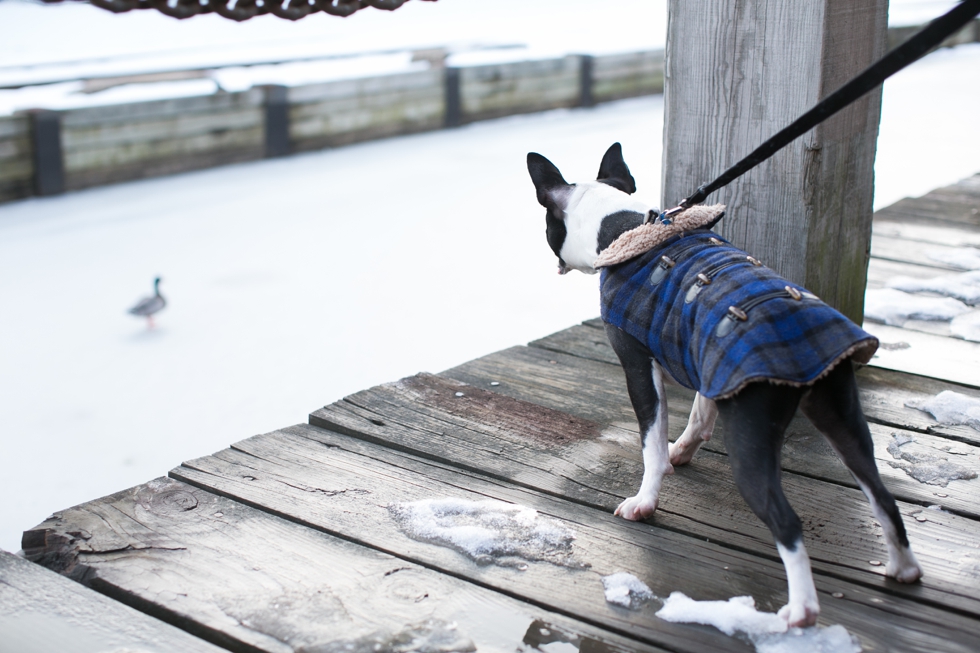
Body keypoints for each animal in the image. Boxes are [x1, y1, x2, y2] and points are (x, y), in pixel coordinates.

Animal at [524, 144, 924, 628]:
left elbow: (651, 443)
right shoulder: (707, 361)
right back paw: (903, 568)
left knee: (787, 522)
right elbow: (699, 411)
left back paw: (802, 610)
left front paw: (645, 500)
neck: (626, 227)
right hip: (841, 414)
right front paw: (683, 450)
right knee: (882, 496)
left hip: (751, 443)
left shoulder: (637, 365)